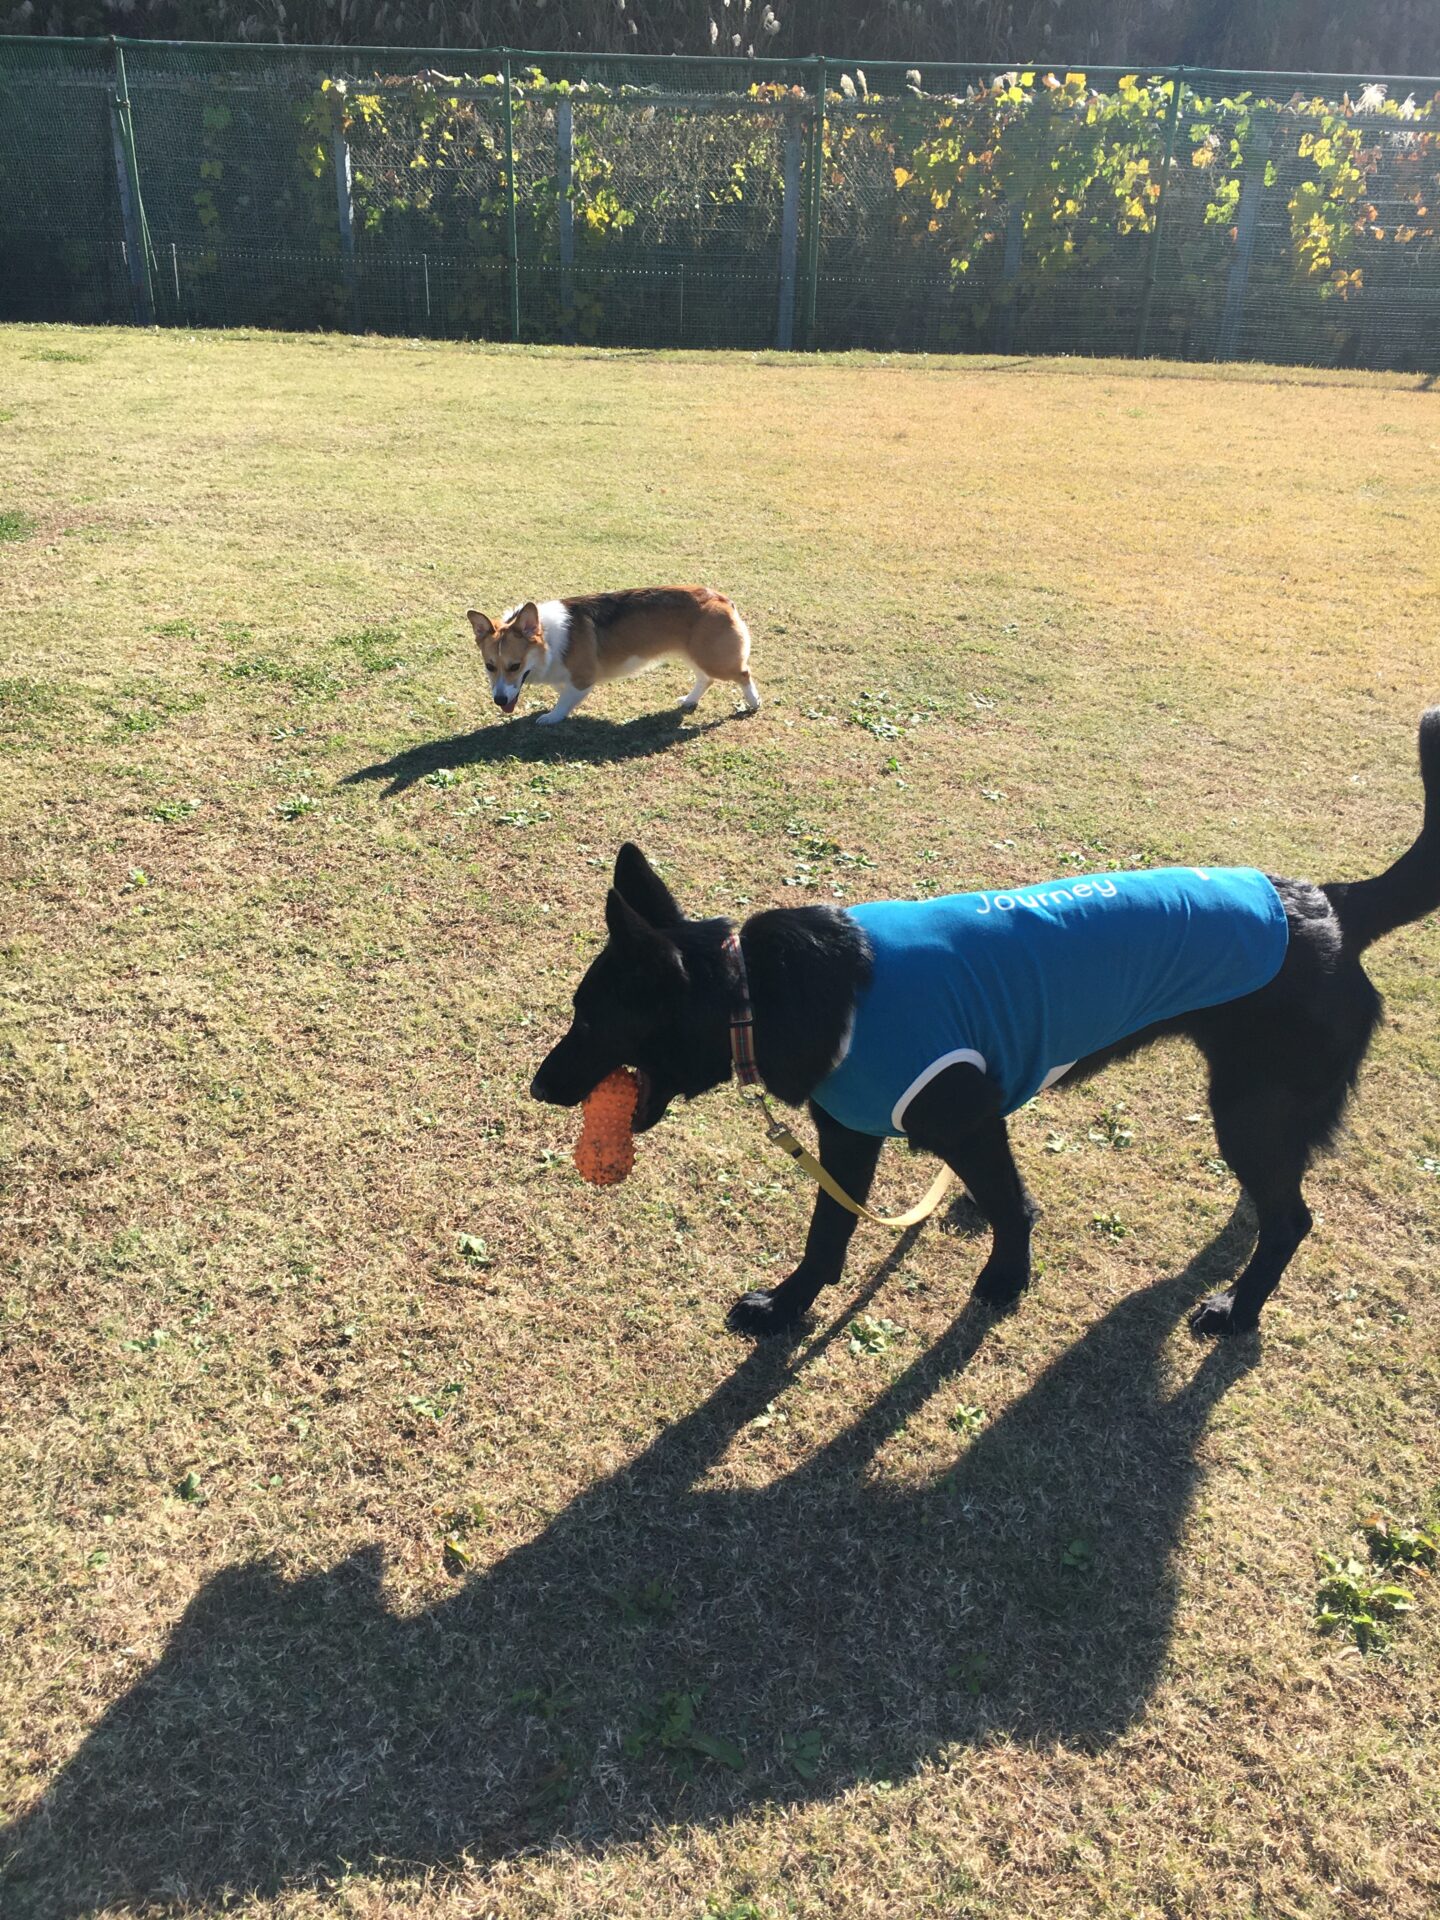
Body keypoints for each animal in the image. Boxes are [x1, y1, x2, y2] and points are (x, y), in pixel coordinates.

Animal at [466, 587, 761, 726]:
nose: (499, 700)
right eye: (489, 666)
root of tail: (723, 600)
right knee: (705, 679)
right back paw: (690, 700)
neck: (548, 639)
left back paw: (754, 701)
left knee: (743, 673)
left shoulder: (582, 681)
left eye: (515, 666)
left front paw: (550, 717)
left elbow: (563, 703)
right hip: (695, 655)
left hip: (714, 659)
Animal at [532, 710, 1439, 1342]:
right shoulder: (850, 1134)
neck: (764, 991)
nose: (537, 1086)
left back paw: (1238, 1310)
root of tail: (1332, 903)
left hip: (1249, 1108)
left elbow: (1010, 1209)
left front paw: (1007, 1279)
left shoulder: (965, 1122)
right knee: (1278, 1196)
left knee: (1294, 1218)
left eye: (589, 1018)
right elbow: (829, 1236)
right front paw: (789, 1308)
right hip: (1259, 1114)